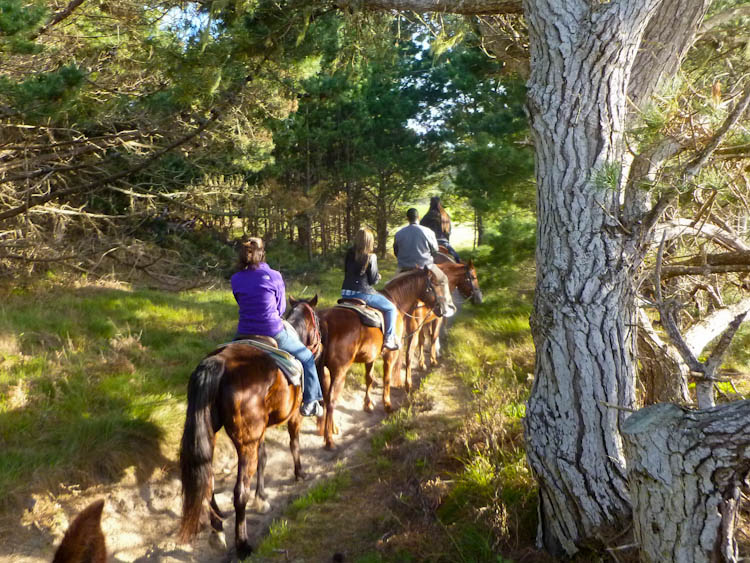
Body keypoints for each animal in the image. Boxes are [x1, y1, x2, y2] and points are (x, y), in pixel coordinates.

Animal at [182, 298, 324, 556]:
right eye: (317, 321)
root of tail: (217, 363)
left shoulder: (260, 431)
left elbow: (264, 458)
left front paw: (263, 498)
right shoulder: (292, 418)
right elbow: (294, 443)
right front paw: (299, 473)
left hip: (212, 434)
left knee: (207, 482)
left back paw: (218, 530)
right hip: (245, 442)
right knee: (239, 493)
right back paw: (242, 544)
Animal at [318, 266, 452, 452]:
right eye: (438, 284)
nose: (445, 309)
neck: (396, 300)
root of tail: (325, 322)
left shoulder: (370, 357)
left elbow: (369, 378)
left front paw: (368, 405)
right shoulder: (390, 354)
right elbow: (387, 379)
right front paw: (387, 405)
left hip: (321, 371)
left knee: (323, 400)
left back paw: (331, 429)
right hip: (339, 373)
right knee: (330, 401)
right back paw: (329, 440)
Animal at [406, 258, 482, 390]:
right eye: (473, 277)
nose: (479, 299)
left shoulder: (425, 323)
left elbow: (423, 340)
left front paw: (422, 363)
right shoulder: (437, 319)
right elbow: (433, 336)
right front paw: (433, 360)